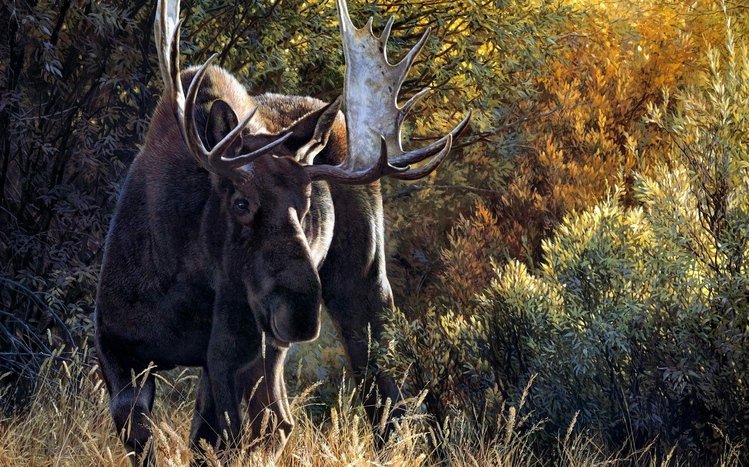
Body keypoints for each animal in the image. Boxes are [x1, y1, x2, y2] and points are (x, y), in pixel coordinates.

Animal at [94, 0, 470, 464]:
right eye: (241, 203)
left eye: (307, 206)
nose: (301, 309)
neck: (179, 279)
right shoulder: (118, 348)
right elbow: (158, 437)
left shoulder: (238, 351)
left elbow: (234, 432)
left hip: (360, 283)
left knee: (373, 383)